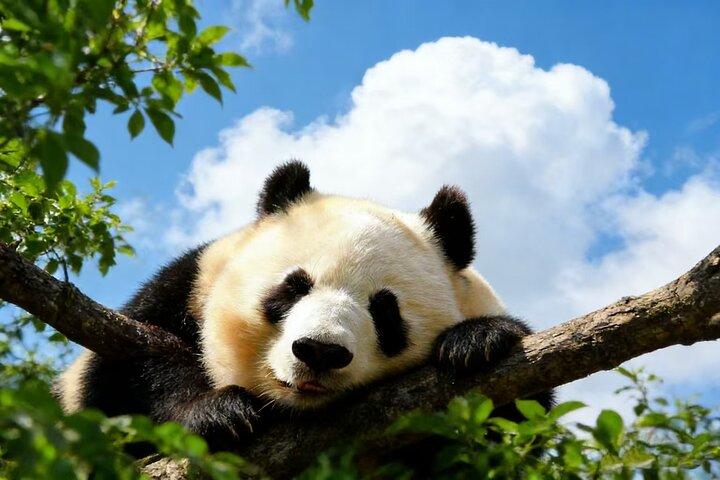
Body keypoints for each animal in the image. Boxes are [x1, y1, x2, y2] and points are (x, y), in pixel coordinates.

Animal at [55, 161, 552, 450]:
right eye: (293, 288)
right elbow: (126, 372)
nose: (319, 351)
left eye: (385, 311)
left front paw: (477, 342)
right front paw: (219, 413)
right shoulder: (184, 287)